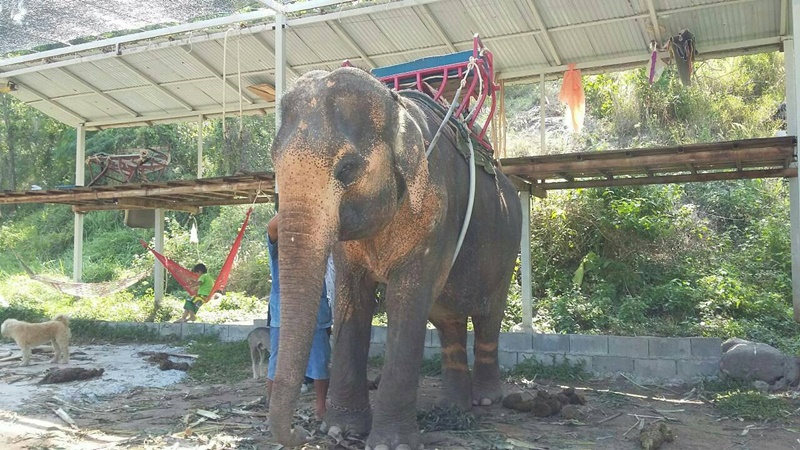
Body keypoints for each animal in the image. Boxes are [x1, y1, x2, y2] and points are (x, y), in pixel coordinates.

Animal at [268, 65, 524, 448]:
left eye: (347, 169)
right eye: (273, 164)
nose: (301, 431)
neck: (398, 108)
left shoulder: (434, 210)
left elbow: (406, 299)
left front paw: (390, 443)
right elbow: (351, 298)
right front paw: (340, 430)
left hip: (507, 246)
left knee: (489, 316)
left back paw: (484, 400)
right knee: (449, 320)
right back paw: (453, 407)